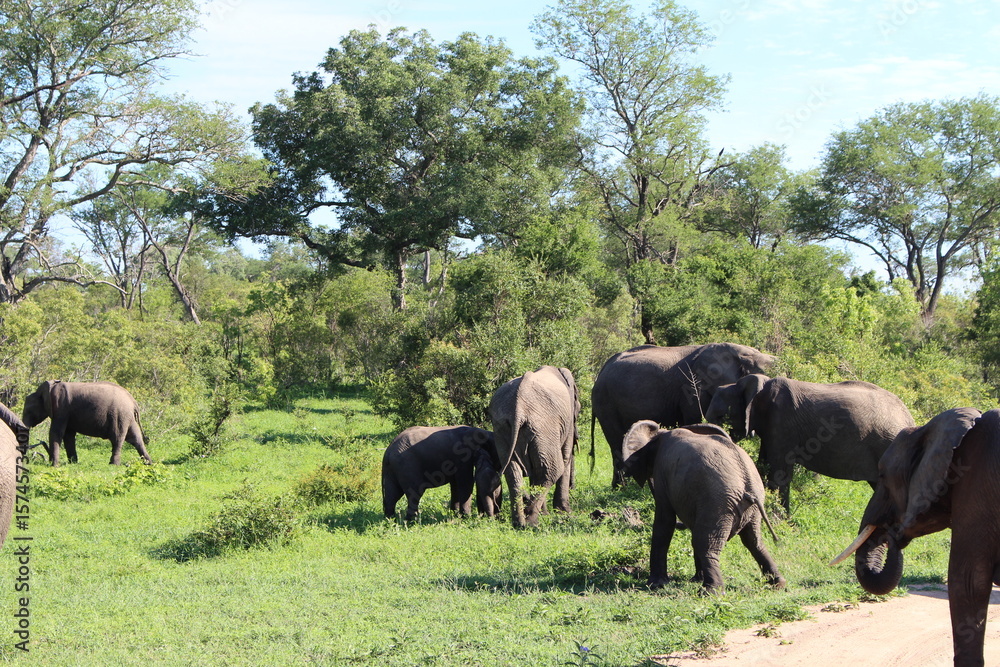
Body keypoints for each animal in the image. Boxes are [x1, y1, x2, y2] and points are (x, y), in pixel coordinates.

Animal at [22, 380, 152, 466]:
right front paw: (73, 463)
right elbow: (68, 435)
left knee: (117, 438)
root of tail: (133, 402)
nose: (25, 460)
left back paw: (113, 464)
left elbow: (56, 433)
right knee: (136, 439)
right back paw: (149, 463)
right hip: (127, 417)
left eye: (28, 411)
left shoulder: (61, 408)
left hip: (119, 415)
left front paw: (54, 466)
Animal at [489, 365, 579, 529]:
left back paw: (520, 522)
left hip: (504, 428)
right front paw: (565, 513)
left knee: (513, 472)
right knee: (552, 469)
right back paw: (532, 522)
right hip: (543, 427)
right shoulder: (567, 420)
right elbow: (565, 457)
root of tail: (518, 408)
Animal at [622, 420, 785, 593]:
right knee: (754, 541)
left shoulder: (662, 473)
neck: (661, 434)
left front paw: (656, 584)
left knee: (705, 543)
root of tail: (749, 485)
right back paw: (778, 584)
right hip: (747, 508)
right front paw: (694, 579)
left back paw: (711, 592)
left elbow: (664, 520)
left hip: (719, 504)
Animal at [714, 376, 915, 513]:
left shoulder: (781, 421)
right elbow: (763, 466)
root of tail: (909, 417)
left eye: (722, 417)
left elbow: (778, 471)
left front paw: (781, 521)